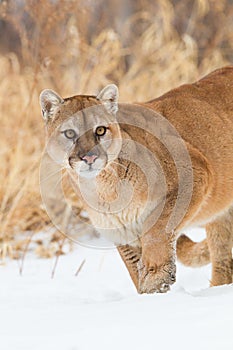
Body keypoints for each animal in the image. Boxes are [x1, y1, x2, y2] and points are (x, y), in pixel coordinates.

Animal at [40, 67, 233, 294]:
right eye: (70, 133)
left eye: (100, 130)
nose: (89, 157)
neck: (104, 190)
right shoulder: (122, 233)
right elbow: (134, 268)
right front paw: (149, 293)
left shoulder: (194, 174)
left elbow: (157, 228)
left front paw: (157, 278)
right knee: (222, 261)